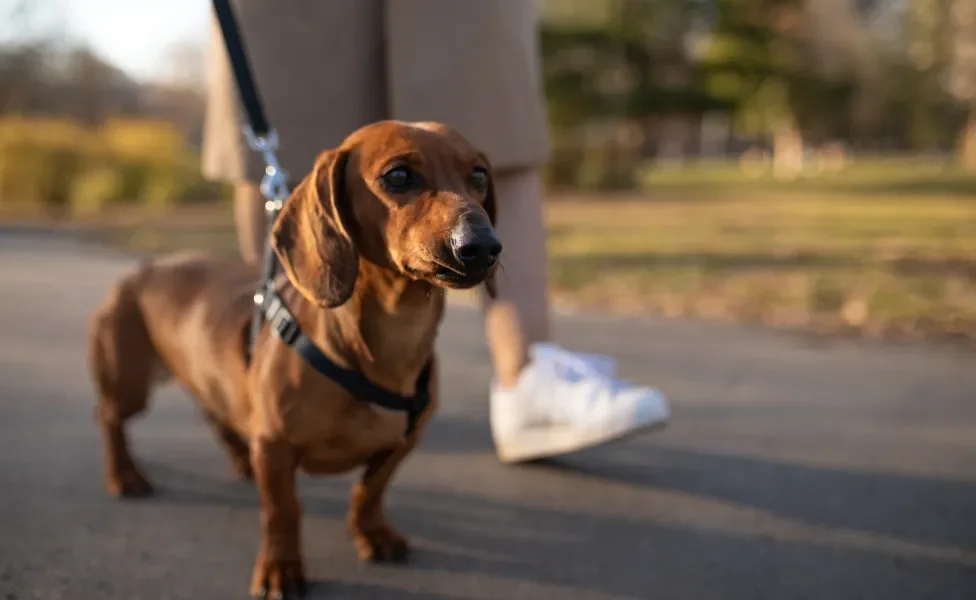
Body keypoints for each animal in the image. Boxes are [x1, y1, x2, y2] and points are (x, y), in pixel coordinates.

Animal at [86, 119, 500, 596]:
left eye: (479, 175)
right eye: (398, 176)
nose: (483, 246)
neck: (384, 348)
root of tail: (142, 268)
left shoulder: (402, 443)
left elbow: (370, 490)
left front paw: (373, 533)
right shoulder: (275, 446)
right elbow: (283, 511)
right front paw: (280, 567)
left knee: (216, 415)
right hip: (130, 384)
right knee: (111, 418)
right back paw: (124, 475)